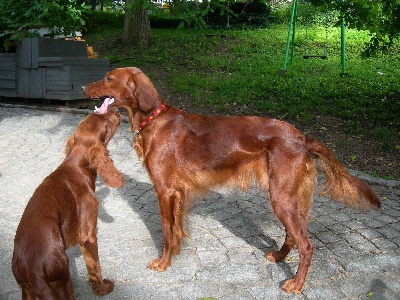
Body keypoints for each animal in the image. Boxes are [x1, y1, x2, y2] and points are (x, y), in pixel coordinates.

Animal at [11, 108, 124, 300]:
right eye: (106, 123)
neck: (76, 167)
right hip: (63, 281)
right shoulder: (88, 235)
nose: (116, 109)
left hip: (26, 289)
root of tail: (33, 270)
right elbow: (95, 267)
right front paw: (103, 289)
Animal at [81, 67, 382, 292]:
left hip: (282, 196)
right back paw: (279, 257)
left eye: (108, 78)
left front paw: (163, 263)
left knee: (306, 244)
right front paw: (175, 255)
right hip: (288, 196)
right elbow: (176, 230)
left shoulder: (164, 190)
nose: (83, 89)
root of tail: (301, 137)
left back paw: (296, 284)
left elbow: (166, 231)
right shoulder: (176, 193)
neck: (153, 119)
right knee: (293, 236)